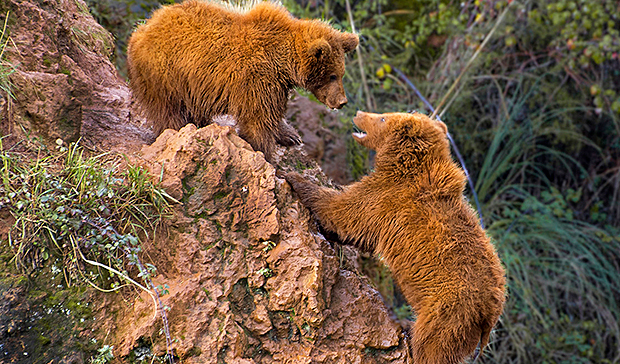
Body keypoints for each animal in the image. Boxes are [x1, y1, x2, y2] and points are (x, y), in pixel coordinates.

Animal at [126, 0, 358, 159]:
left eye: (341, 73)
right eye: (332, 75)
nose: (342, 102)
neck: (284, 63)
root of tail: (142, 28)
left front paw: (290, 135)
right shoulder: (258, 79)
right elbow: (258, 119)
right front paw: (264, 152)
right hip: (164, 72)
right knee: (169, 110)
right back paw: (176, 131)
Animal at [284, 111, 506, 364]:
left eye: (382, 118)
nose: (359, 113)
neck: (406, 165)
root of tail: (490, 313)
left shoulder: (386, 197)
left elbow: (344, 211)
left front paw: (294, 177)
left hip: (448, 314)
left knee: (431, 347)